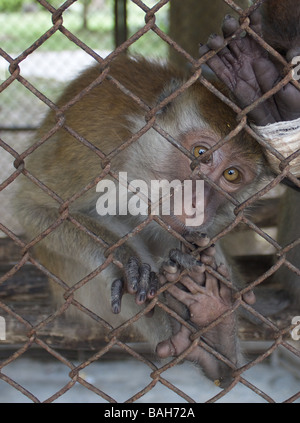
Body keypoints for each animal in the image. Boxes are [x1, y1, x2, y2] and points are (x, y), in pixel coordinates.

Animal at [15, 0, 300, 390]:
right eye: (200, 154)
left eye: (231, 175)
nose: (197, 204)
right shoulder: (93, 149)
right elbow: (33, 208)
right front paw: (126, 258)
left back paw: (214, 329)